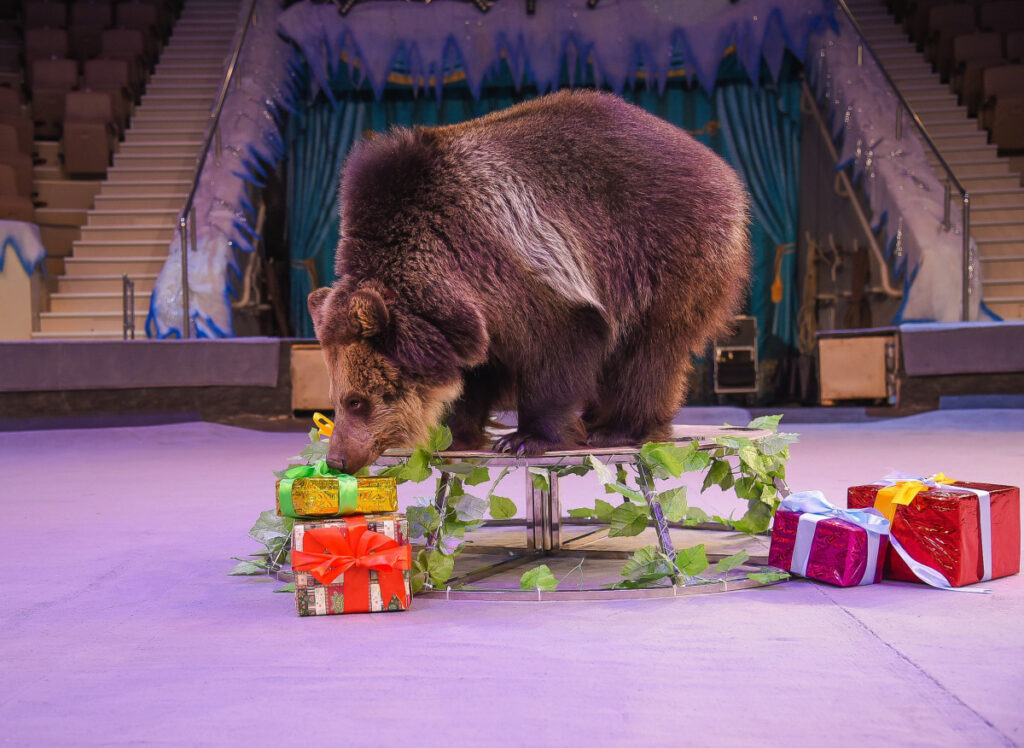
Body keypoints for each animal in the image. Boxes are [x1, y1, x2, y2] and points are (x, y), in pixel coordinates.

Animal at [307, 88, 749, 471]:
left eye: (356, 401)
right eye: (334, 400)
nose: (338, 459)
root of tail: (720, 169)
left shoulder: (524, 266)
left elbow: (554, 351)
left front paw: (524, 437)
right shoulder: (476, 315)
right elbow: (477, 374)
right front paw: (456, 431)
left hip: (661, 253)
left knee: (646, 352)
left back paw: (617, 427)